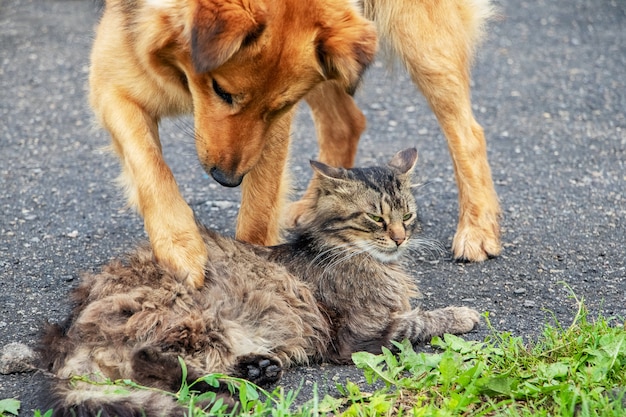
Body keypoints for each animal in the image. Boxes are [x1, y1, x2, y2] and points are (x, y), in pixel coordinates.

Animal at [39, 149, 478, 416]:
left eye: (407, 216)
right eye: (374, 219)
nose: (400, 238)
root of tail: (70, 335)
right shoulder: (361, 333)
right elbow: (421, 320)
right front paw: (463, 315)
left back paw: (257, 369)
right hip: (194, 320)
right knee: (151, 361)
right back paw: (233, 385)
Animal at [88, 0, 498, 290]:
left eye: (278, 107)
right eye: (221, 91)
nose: (226, 180)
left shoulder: (273, 128)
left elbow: (257, 212)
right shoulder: (111, 84)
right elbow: (150, 168)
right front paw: (180, 248)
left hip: (417, 36)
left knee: (467, 131)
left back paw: (478, 229)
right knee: (346, 122)